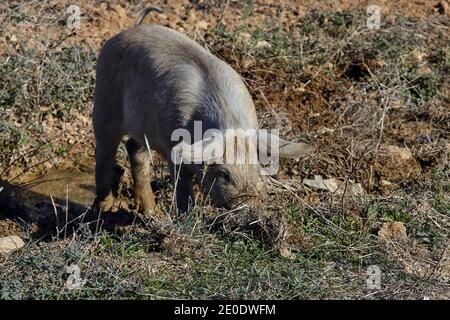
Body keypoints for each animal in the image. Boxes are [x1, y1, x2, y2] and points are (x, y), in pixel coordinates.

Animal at [91, 14, 312, 215]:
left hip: (142, 124)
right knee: (104, 154)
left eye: (256, 167)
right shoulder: (173, 148)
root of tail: (125, 32)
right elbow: (182, 191)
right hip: (104, 103)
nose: (252, 206)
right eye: (223, 173)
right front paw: (186, 217)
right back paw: (103, 209)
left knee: (134, 149)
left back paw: (152, 213)